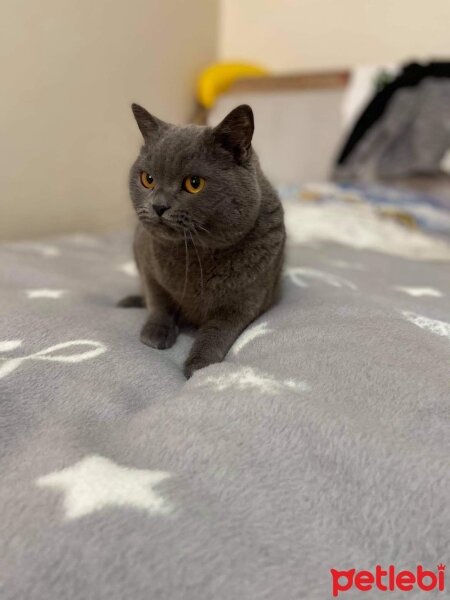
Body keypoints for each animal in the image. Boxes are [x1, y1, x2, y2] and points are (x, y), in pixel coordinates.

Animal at [120, 102, 284, 376]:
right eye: (148, 179)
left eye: (194, 183)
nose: (158, 206)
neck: (195, 255)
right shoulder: (147, 260)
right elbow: (157, 299)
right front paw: (154, 333)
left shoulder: (246, 301)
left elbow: (217, 331)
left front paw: (200, 365)